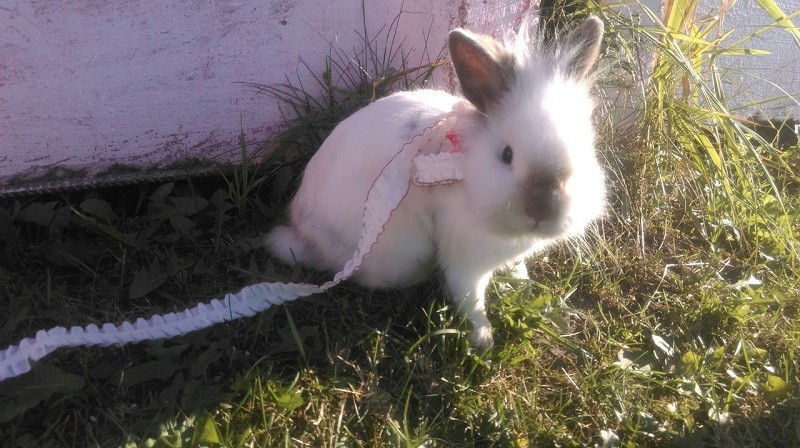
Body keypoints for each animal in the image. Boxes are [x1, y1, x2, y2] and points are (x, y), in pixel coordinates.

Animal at [267, 16, 606, 350]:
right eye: (507, 155)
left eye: (585, 148)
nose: (542, 210)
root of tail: (306, 239)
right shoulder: (464, 258)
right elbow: (469, 298)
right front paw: (483, 339)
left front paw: (521, 283)